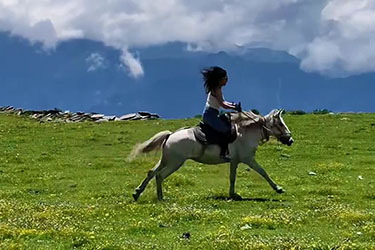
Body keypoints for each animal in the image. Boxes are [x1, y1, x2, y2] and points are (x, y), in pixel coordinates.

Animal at [131, 109, 294, 201]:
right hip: (174, 163)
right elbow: (263, 172)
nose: (290, 140)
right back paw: (160, 197)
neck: (245, 133)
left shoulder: (235, 161)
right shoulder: (248, 160)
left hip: (166, 160)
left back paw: (137, 193)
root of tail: (170, 135)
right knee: (159, 176)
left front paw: (233, 194)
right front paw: (278, 188)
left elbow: (232, 177)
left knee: (151, 172)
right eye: (280, 124)